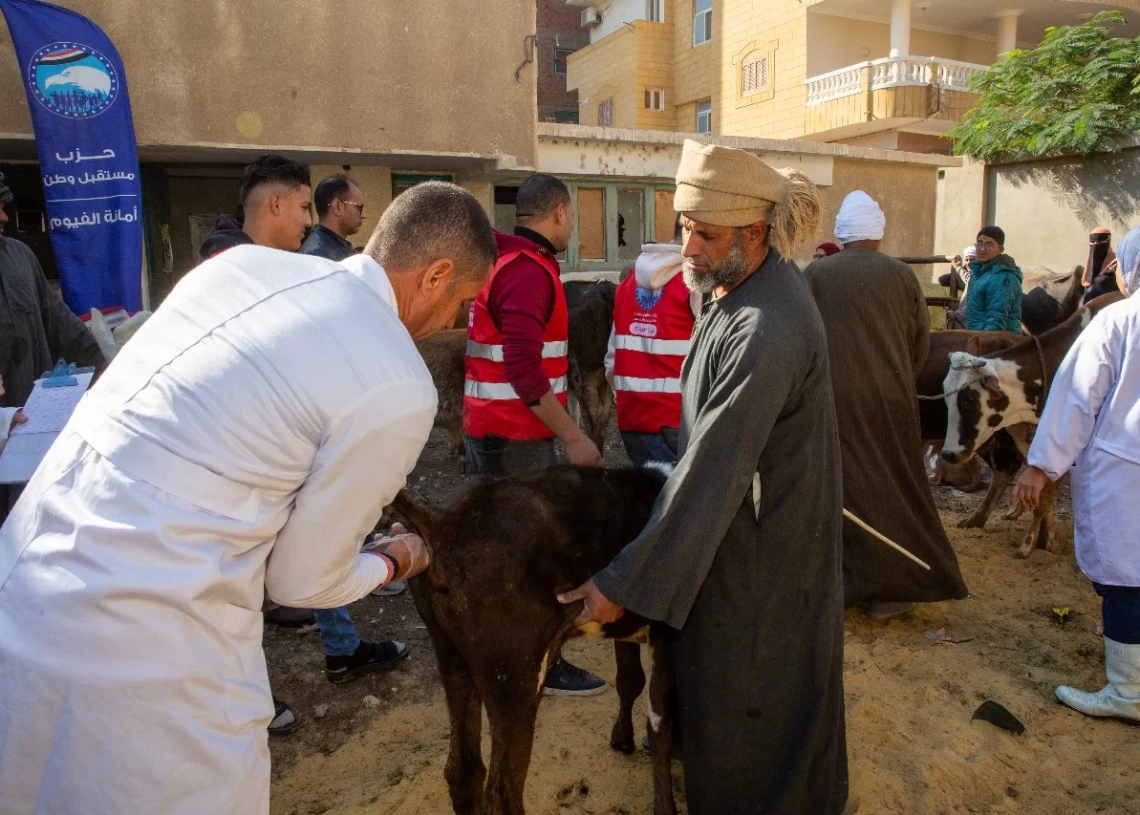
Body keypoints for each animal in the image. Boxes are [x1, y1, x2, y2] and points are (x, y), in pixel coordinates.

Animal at [394, 465, 674, 815]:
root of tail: (446, 520)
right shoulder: (670, 631)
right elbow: (661, 723)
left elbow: (630, 680)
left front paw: (622, 739)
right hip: (515, 675)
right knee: (503, 789)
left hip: (451, 654)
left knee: (463, 771)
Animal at [939, 291, 1126, 553]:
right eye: (946, 397)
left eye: (968, 400)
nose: (949, 454)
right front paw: (1044, 539)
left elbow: (1046, 494)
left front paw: (1030, 544)